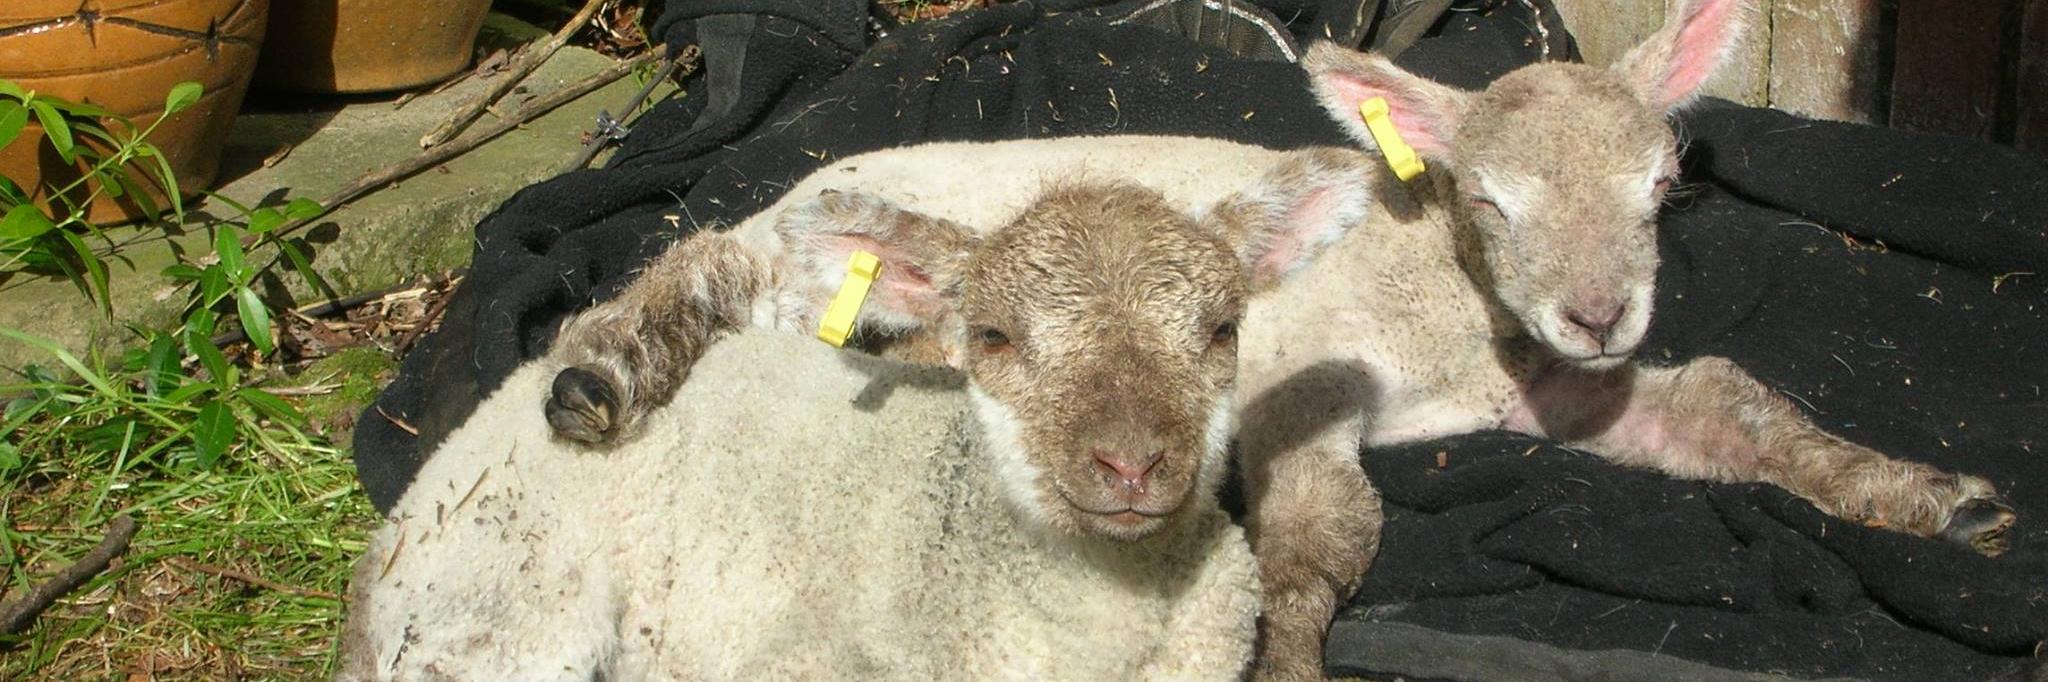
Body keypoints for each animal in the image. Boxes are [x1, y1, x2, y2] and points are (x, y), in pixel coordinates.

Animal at [534, 0, 2017, 678]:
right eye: (1492, 197)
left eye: (1660, 188)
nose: (1602, 312)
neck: (1443, 306)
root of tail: (807, 177)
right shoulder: (1301, 370)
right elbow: (1321, 533)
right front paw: (1290, 650)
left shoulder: (1552, 387)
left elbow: (1730, 403)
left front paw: (1934, 498)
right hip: (822, 249)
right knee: (705, 263)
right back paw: (596, 375)